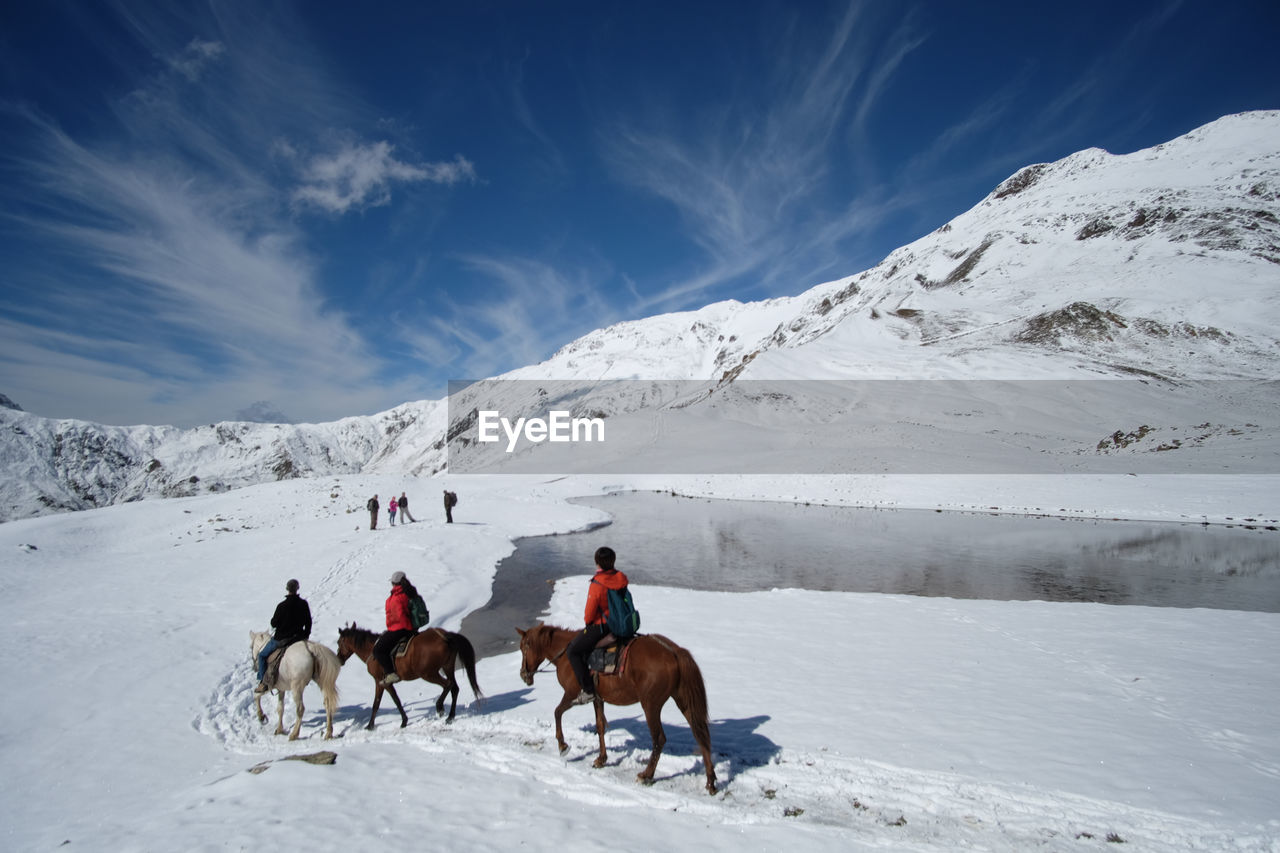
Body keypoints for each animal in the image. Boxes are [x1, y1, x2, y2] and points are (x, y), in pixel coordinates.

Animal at [337, 622, 481, 727]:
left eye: (338, 642)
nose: (339, 659)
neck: (371, 651)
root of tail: (445, 636)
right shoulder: (387, 683)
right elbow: (396, 700)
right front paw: (404, 720)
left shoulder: (380, 681)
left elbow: (378, 703)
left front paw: (370, 726)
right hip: (447, 667)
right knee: (454, 688)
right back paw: (450, 717)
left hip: (428, 673)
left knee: (448, 684)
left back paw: (440, 707)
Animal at [519, 622, 721, 794]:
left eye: (523, 648)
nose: (523, 674)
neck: (566, 654)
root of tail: (675, 652)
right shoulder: (597, 699)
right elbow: (600, 726)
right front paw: (601, 759)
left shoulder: (572, 694)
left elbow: (557, 712)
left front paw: (563, 746)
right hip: (683, 700)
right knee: (700, 735)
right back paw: (710, 782)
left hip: (651, 705)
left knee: (659, 739)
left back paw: (646, 775)